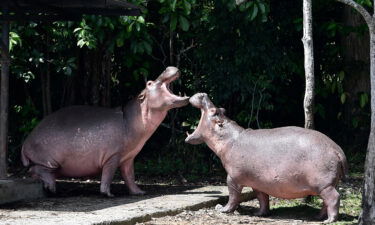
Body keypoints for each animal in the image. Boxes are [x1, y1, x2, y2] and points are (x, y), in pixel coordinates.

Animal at [22, 66, 189, 196]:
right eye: (149, 83)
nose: (167, 67)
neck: (133, 117)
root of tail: (25, 142)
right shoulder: (113, 156)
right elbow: (108, 175)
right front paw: (108, 194)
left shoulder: (128, 157)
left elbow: (129, 176)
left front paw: (139, 192)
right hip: (49, 161)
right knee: (36, 170)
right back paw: (51, 187)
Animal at [185, 92, 350, 222]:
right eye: (221, 109)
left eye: (214, 111)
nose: (203, 94)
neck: (228, 138)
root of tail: (337, 150)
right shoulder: (257, 182)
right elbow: (262, 198)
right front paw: (259, 213)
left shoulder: (233, 177)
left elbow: (233, 195)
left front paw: (223, 210)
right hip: (328, 184)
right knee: (326, 202)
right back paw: (318, 217)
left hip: (324, 185)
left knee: (334, 198)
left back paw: (329, 220)